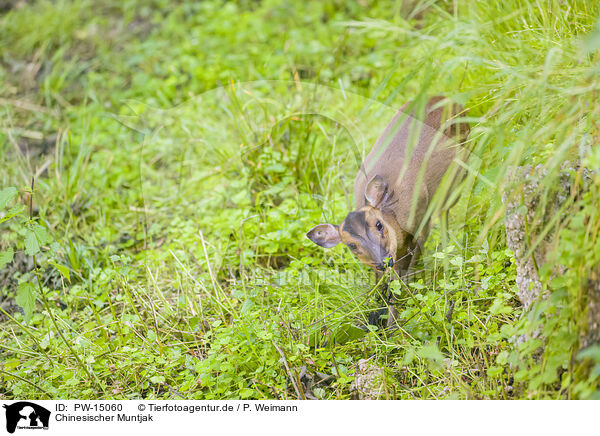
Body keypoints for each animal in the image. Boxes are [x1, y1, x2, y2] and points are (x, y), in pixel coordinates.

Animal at [310, 96, 468, 324]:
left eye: (379, 224)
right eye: (351, 245)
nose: (383, 260)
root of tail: (447, 99)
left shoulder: (419, 224)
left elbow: (403, 277)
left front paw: (394, 323)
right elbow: (385, 280)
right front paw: (377, 313)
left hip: (457, 178)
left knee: (445, 215)